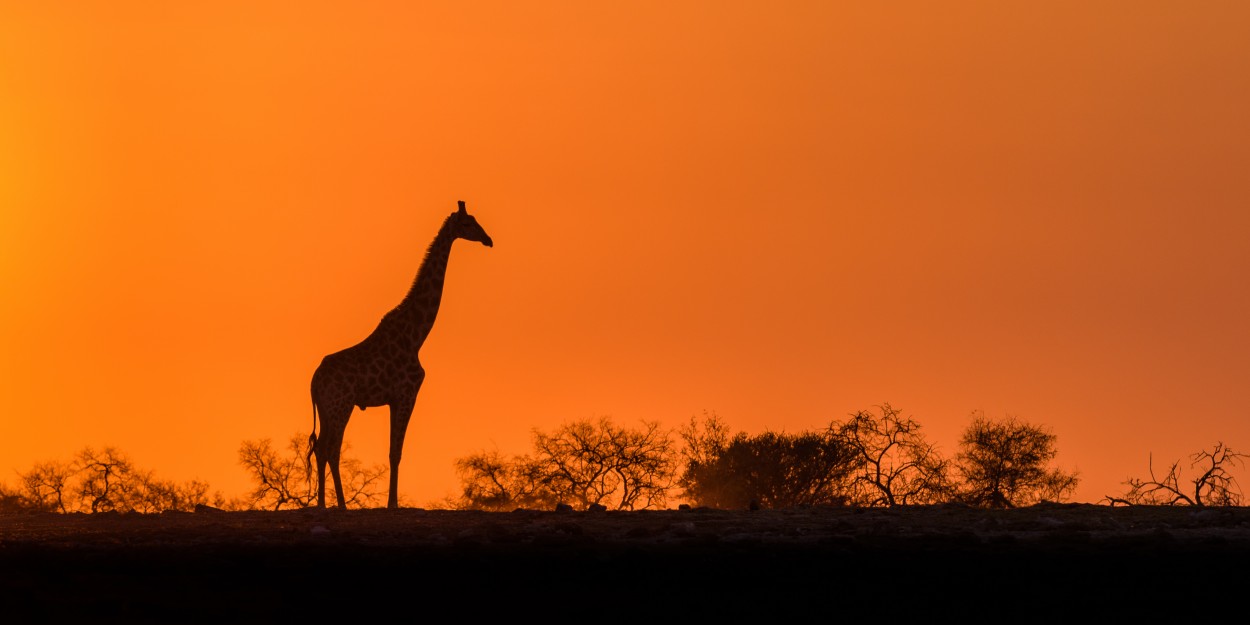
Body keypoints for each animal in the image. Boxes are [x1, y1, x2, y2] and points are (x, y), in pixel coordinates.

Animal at [307, 200, 492, 507]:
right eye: (468, 223)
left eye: (477, 220)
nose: (488, 240)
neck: (417, 336)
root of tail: (313, 381)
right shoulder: (407, 394)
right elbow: (397, 453)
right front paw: (393, 503)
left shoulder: (395, 399)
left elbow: (393, 452)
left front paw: (391, 501)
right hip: (340, 404)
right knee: (330, 449)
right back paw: (338, 505)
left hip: (327, 408)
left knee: (322, 448)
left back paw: (326, 504)